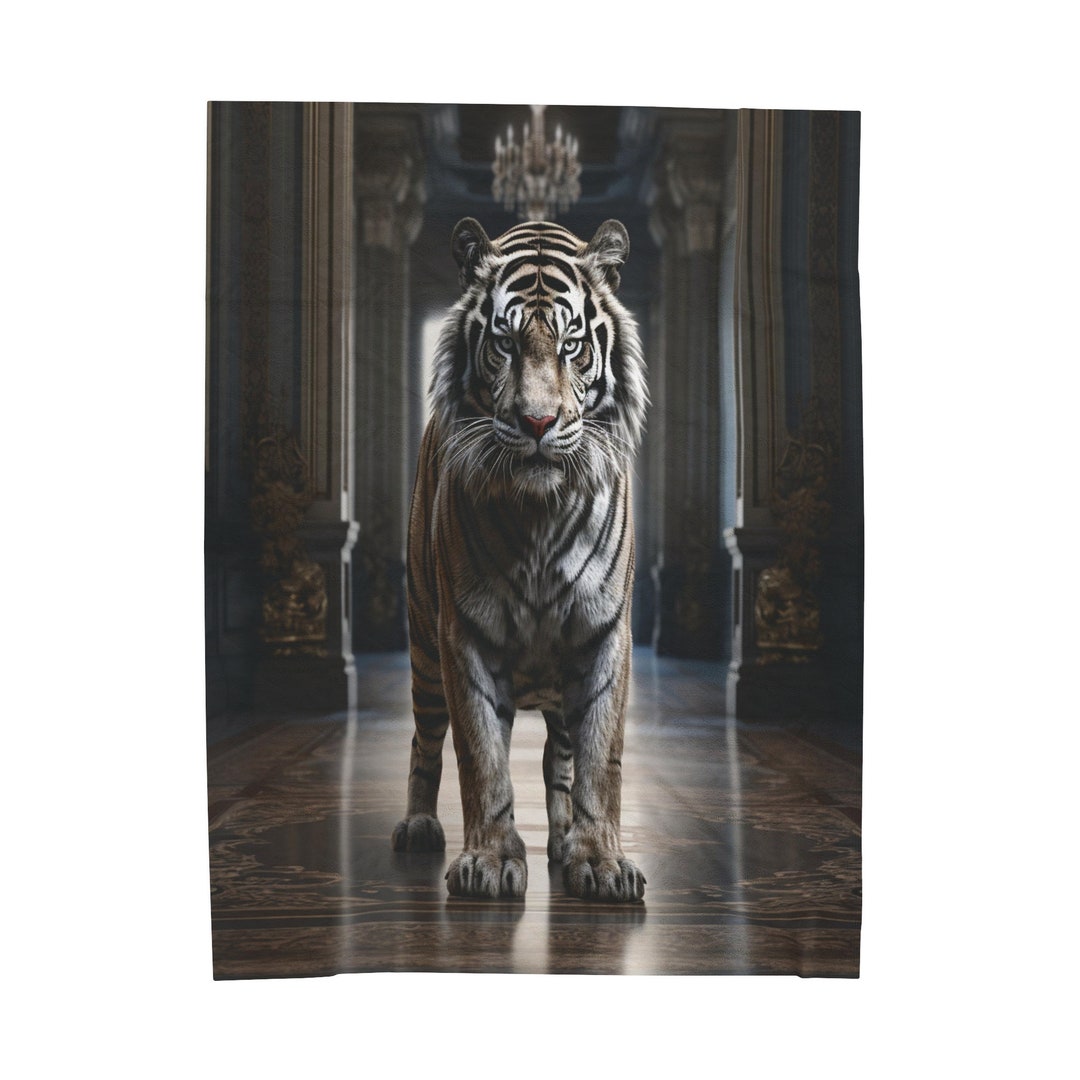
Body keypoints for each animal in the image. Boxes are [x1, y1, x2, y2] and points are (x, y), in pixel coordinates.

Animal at [391, 217, 648, 902]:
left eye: (571, 345)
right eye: (503, 344)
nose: (537, 422)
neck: (541, 516)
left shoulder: (605, 634)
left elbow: (599, 763)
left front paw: (600, 860)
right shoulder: (463, 636)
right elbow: (481, 759)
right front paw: (489, 861)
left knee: (558, 757)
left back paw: (561, 839)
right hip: (424, 649)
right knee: (425, 742)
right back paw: (419, 826)